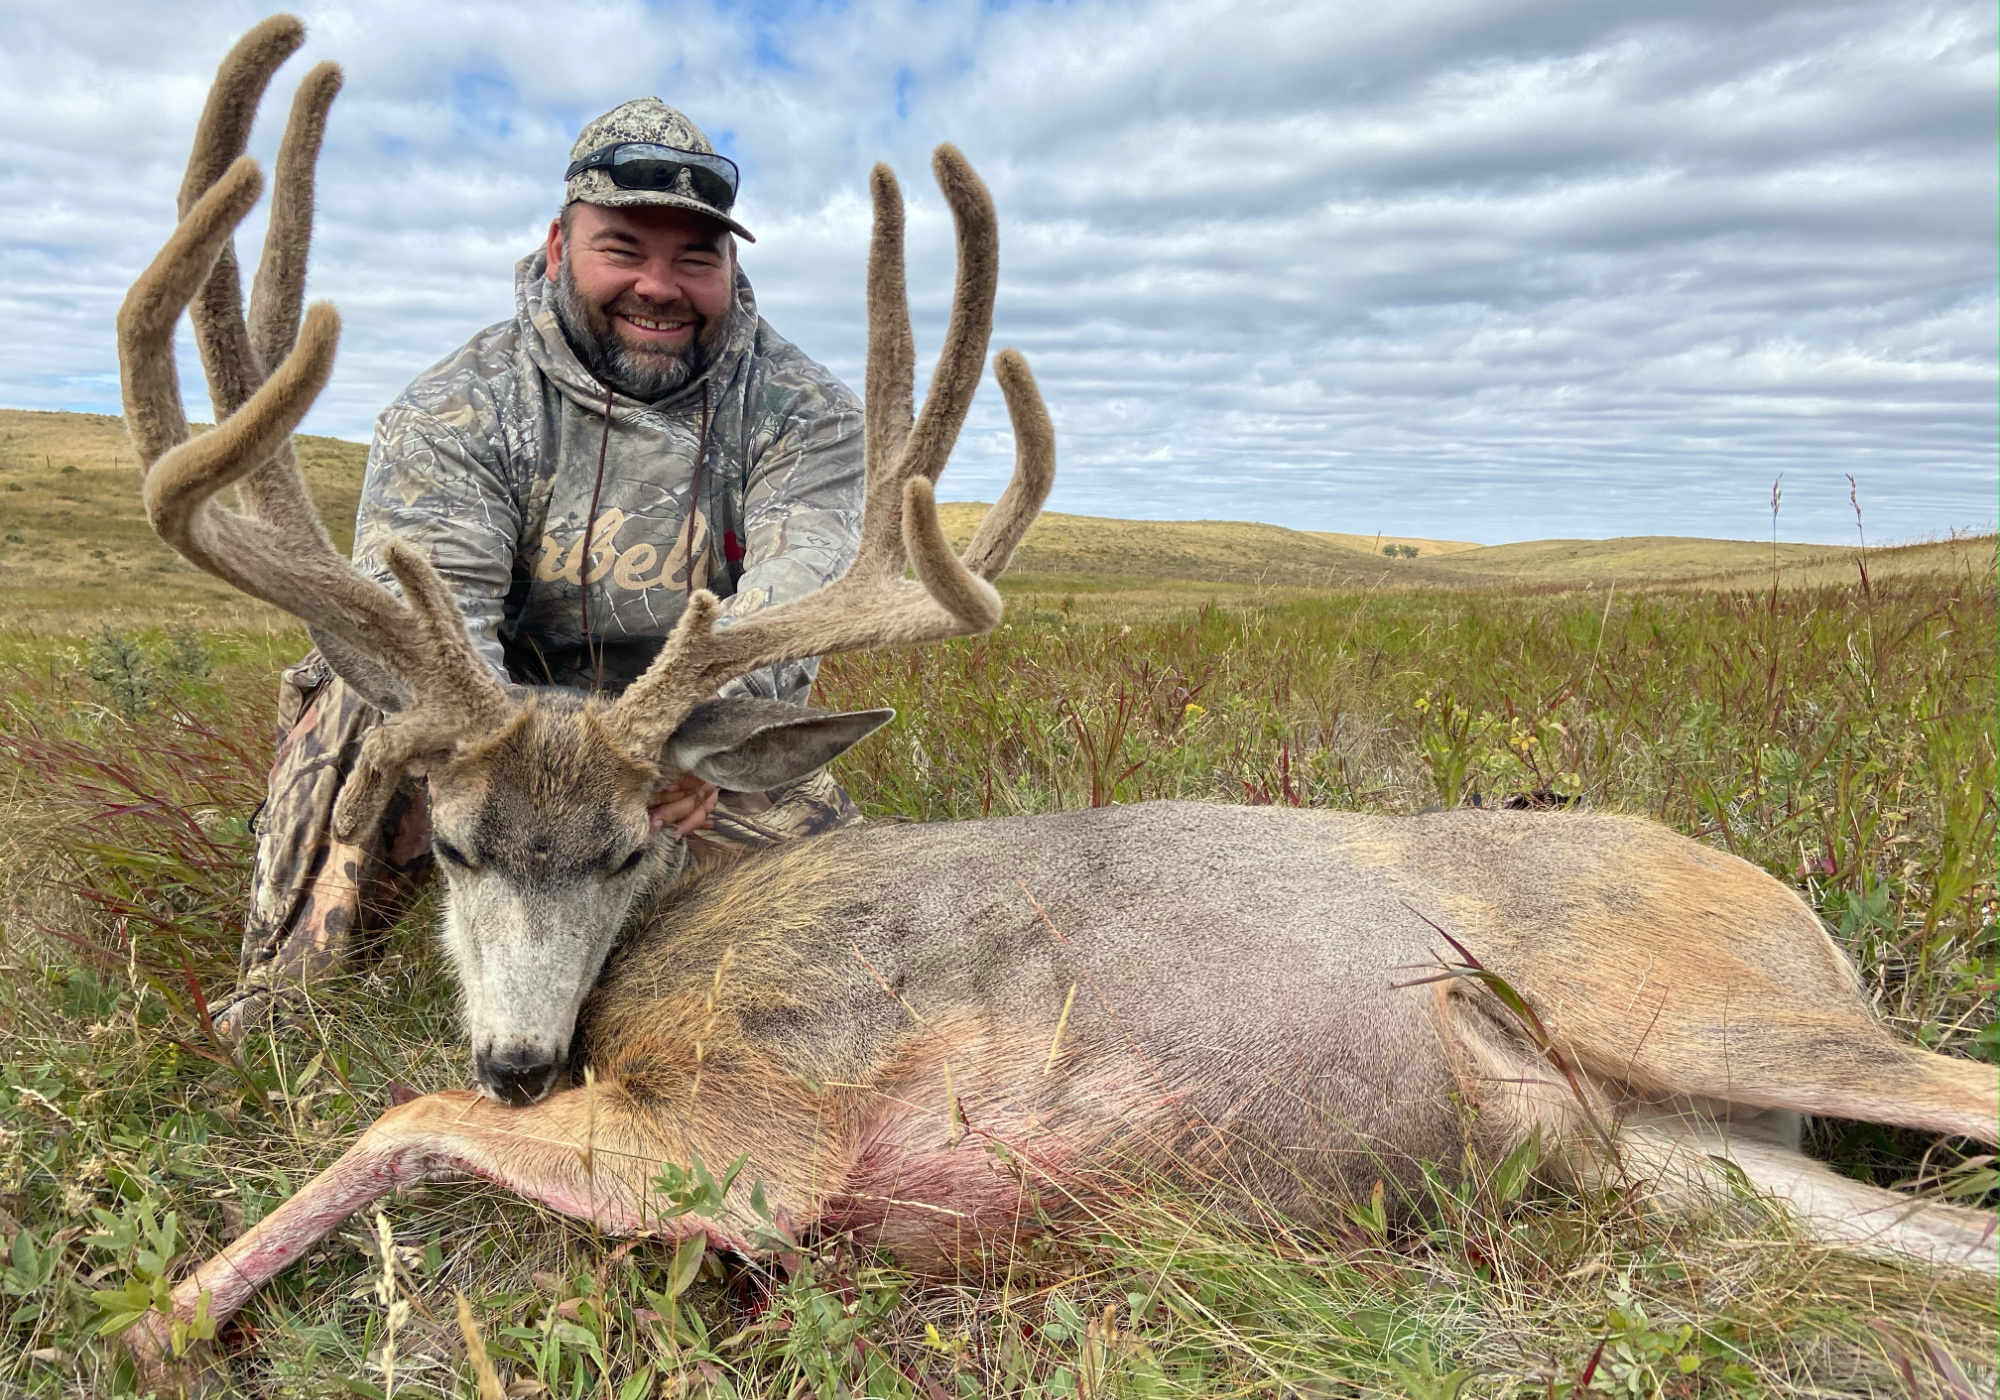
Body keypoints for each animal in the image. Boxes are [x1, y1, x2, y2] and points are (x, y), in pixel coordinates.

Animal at [117, 10, 1992, 1392]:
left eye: (633, 843)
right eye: (447, 842)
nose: (520, 1058)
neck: (668, 955)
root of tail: (1779, 898)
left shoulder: (760, 1129)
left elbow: (401, 1113)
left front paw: (161, 1317)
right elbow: (414, 1112)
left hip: (1684, 1006)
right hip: (1670, 1150)